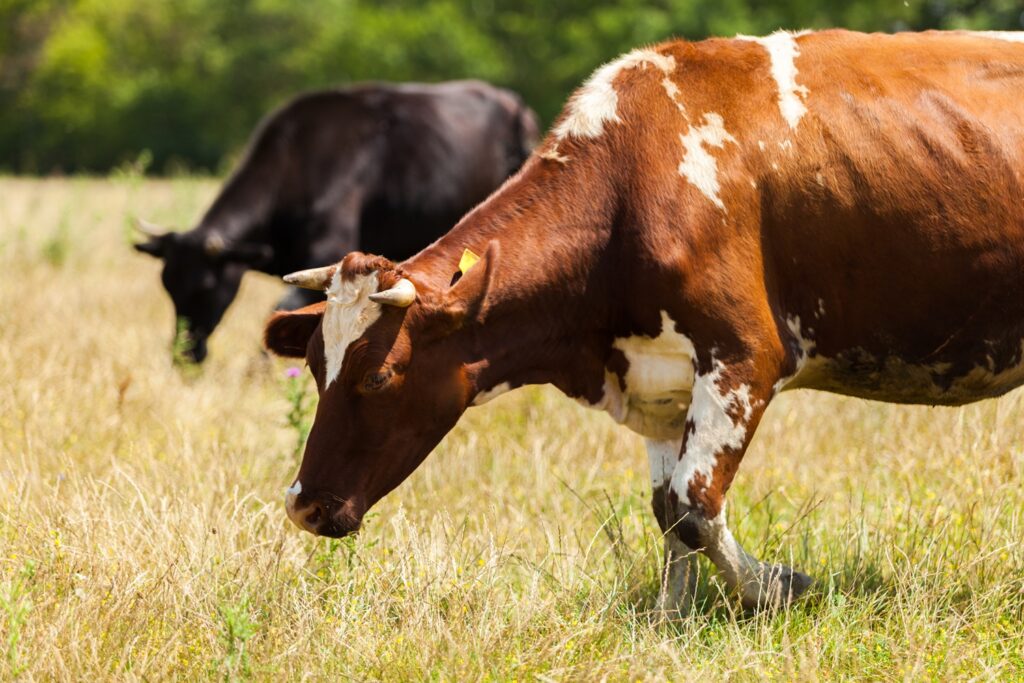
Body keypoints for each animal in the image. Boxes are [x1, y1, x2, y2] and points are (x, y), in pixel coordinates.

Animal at [134, 80, 539, 363]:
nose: (184, 355)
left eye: (205, 286)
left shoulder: (328, 252)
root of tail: (514, 103)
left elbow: (279, 308)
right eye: (167, 285)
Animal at [262, 30, 1024, 615]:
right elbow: (668, 510)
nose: (303, 504)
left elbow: (695, 499)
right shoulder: (662, 384)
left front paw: (777, 588)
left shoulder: (744, 357)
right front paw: (671, 616)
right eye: (318, 367)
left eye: (380, 376)